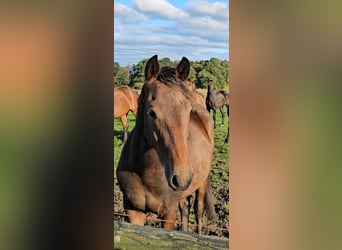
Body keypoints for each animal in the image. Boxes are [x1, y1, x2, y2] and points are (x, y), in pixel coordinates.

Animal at [116, 55, 215, 234]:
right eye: (151, 112)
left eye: (187, 110)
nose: (182, 178)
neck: (147, 173)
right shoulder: (133, 210)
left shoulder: (168, 213)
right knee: (185, 208)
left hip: (202, 183)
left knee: (198, 210)